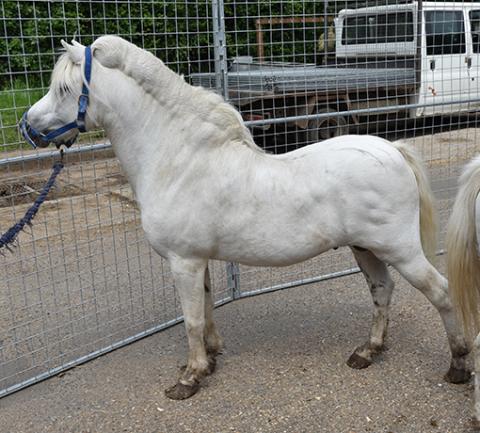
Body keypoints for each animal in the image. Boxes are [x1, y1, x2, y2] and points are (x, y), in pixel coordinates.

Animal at [23, 36, 468, 398]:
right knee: (382, 291)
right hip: (365, 248)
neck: (180, 161)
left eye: (64, 89)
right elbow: (205, 309)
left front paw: (189, 379)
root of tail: (394, 149)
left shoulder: (183, 261)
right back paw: (367, 352)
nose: (27, 127)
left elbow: (190, 319)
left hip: (400, 249)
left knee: (442, 292)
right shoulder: (197, 260)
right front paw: (210, 360)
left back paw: (458, 366)